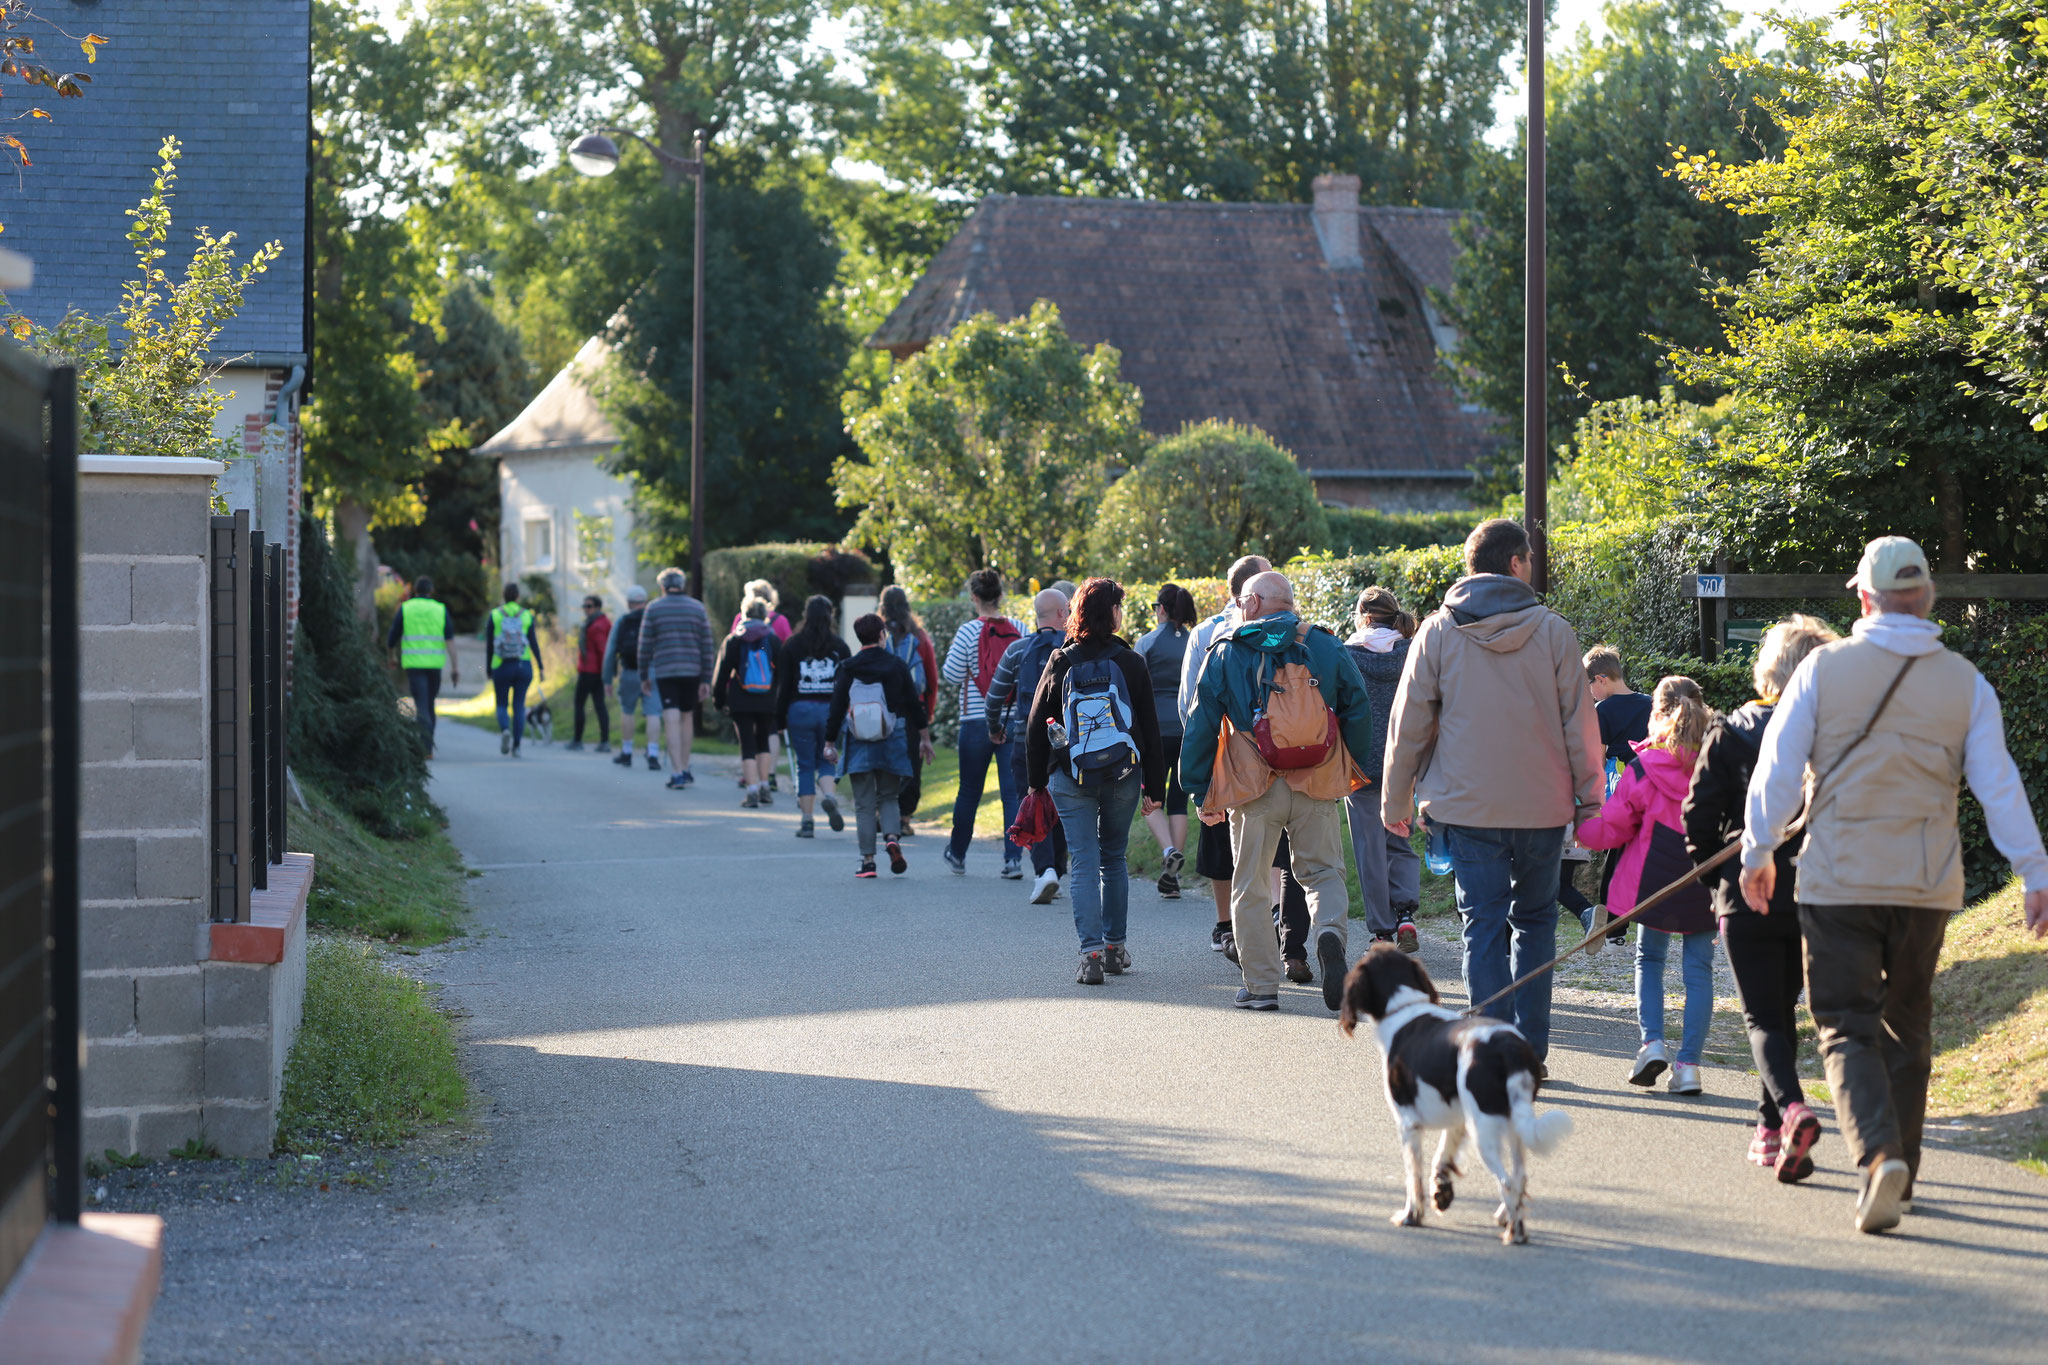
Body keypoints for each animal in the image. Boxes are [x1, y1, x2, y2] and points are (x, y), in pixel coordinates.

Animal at [1335, 945, 1572, 1244]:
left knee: (1507, 1181)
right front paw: (1442, 1193)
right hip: (1512, 1124)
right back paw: (1507, 1219)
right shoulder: (1458, 1119)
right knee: (1520, 1177)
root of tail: (1508, 1049)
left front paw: (1411, 1216)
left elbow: (1413, 1176)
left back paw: (1514, 1232)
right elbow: (1441, 1158)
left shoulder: (1408, 1124)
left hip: (1485, 1127)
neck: (1404, 1007)